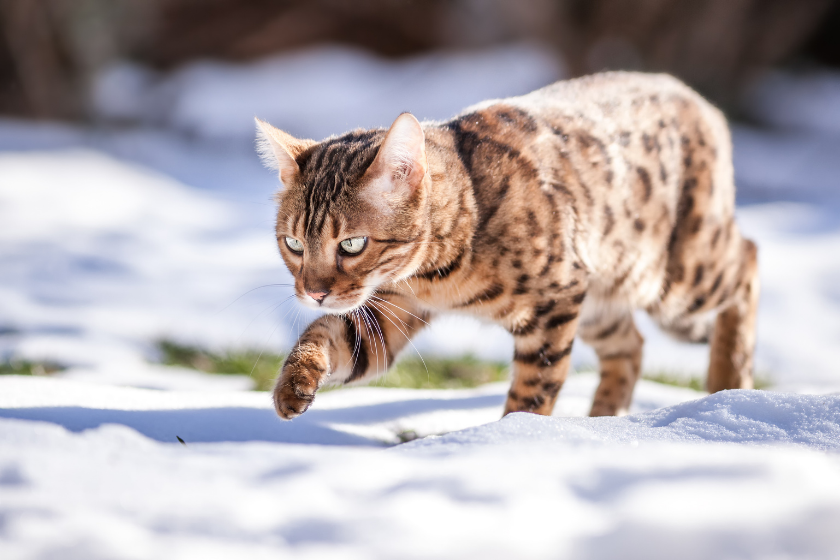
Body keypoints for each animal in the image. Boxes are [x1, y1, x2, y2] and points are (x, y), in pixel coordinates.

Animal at [253, 71, 756, 420]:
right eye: (294, 243)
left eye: (353, 244)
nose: (313, 292)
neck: (437, 274)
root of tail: (694, 96)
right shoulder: (390, 308)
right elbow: (326, 332)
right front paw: (293, 382)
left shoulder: (553, 305)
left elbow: (534, 389)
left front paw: (511, 438)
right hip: (603, 295)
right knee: (630, 345)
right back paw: (602, 422)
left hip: (674, 275)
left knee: (747, 258)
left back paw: (729, 379)